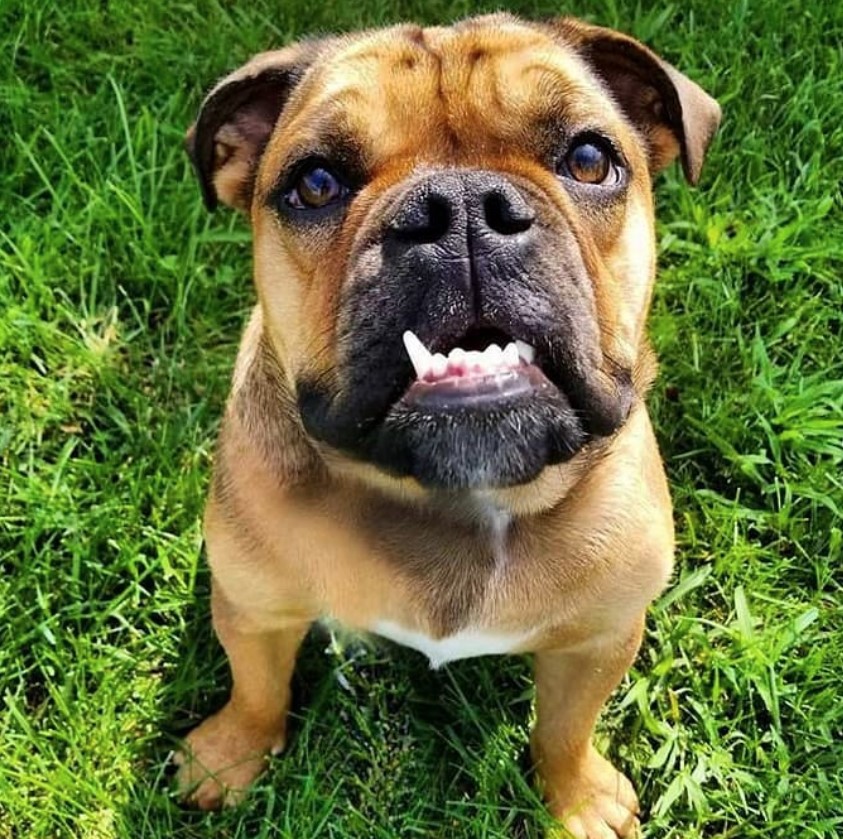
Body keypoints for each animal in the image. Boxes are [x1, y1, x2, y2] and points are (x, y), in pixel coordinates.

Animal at [176, 14, 720, 839]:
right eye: (315, 183)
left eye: (589, 159)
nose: (460, 207)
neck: (459, 499)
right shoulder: (254, 607)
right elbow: (256, 689)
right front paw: (229, 755)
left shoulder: (601, 635)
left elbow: (566, 727)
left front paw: (578, 797)